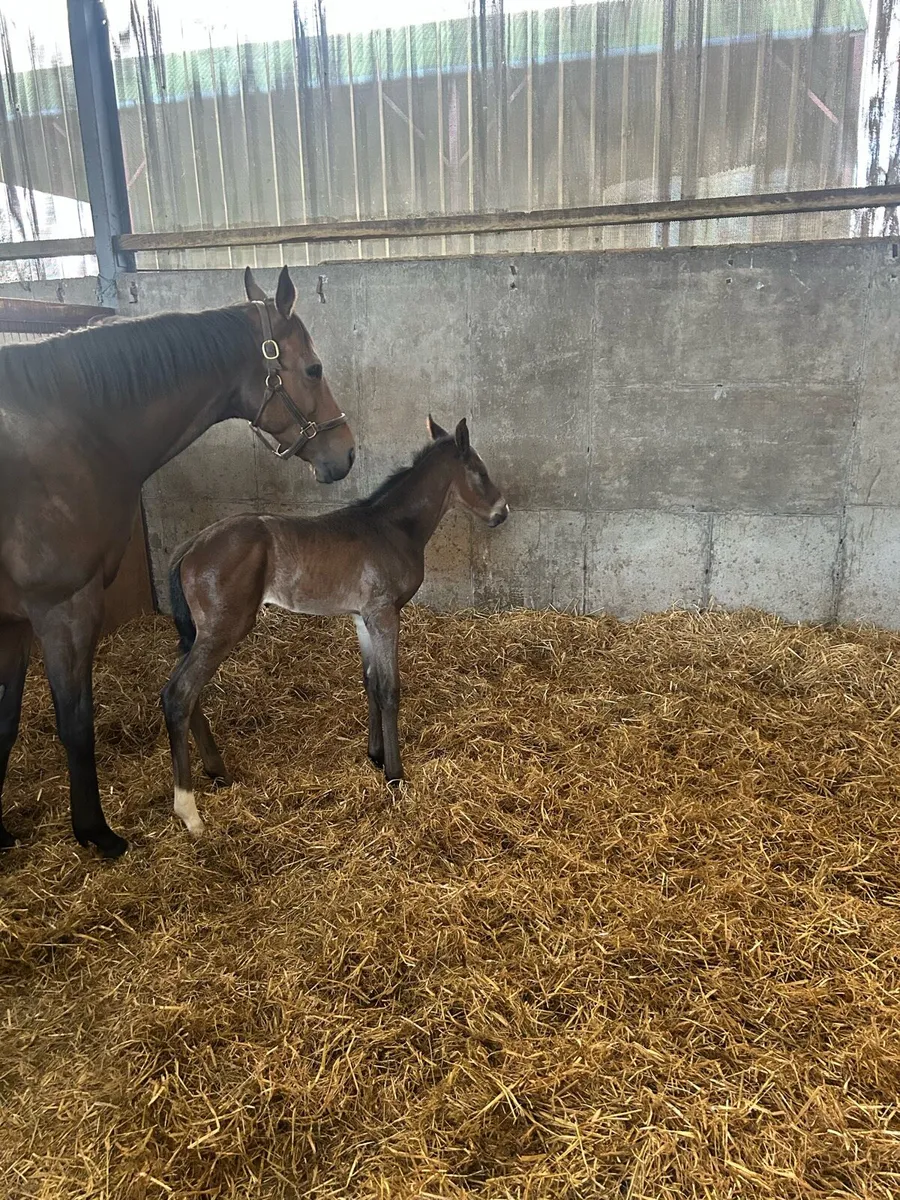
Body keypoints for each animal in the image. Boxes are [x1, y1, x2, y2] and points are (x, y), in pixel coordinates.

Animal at [0, 266, 355, 857]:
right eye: (314, 367)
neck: (78, 428)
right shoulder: (63, 606)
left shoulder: (12, 621)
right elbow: (75, 720)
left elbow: (4, 720)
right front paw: (95, 832)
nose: (345, 453)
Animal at [161, 416, 509, 836]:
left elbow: (371, 682)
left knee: (187, 693)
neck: (392, 527)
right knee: (179, 694)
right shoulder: (384, 613)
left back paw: (217, 772)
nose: (502, 513)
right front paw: (395, 775)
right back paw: (189, 811)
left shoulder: (363, 616)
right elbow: (389, 690)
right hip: (222, 630)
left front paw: (375, 755)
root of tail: (191, 546)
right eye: (480, 472)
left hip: (199, 635)